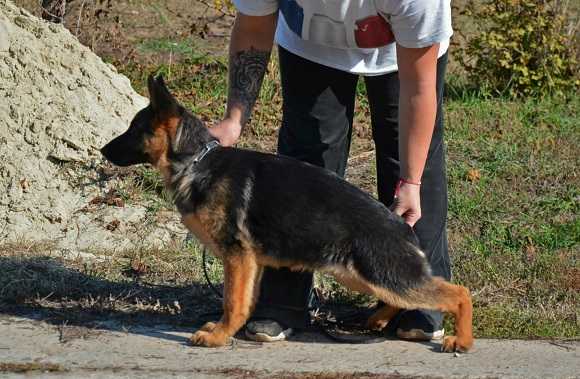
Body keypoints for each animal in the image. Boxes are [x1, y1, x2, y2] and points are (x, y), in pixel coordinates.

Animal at [102, 75, 474, 354]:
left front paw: (219, 336)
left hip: (383, 276)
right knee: (404, 298)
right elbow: (245, 301)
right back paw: (380, 320)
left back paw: (462, 339)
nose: (103, 150)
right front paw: (228, 330)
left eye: (134, 129)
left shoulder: (237, 257)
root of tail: (400, 223)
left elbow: (232, 302)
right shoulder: (249, 263)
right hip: (359, 276)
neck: (196, 161)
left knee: (459, 293)